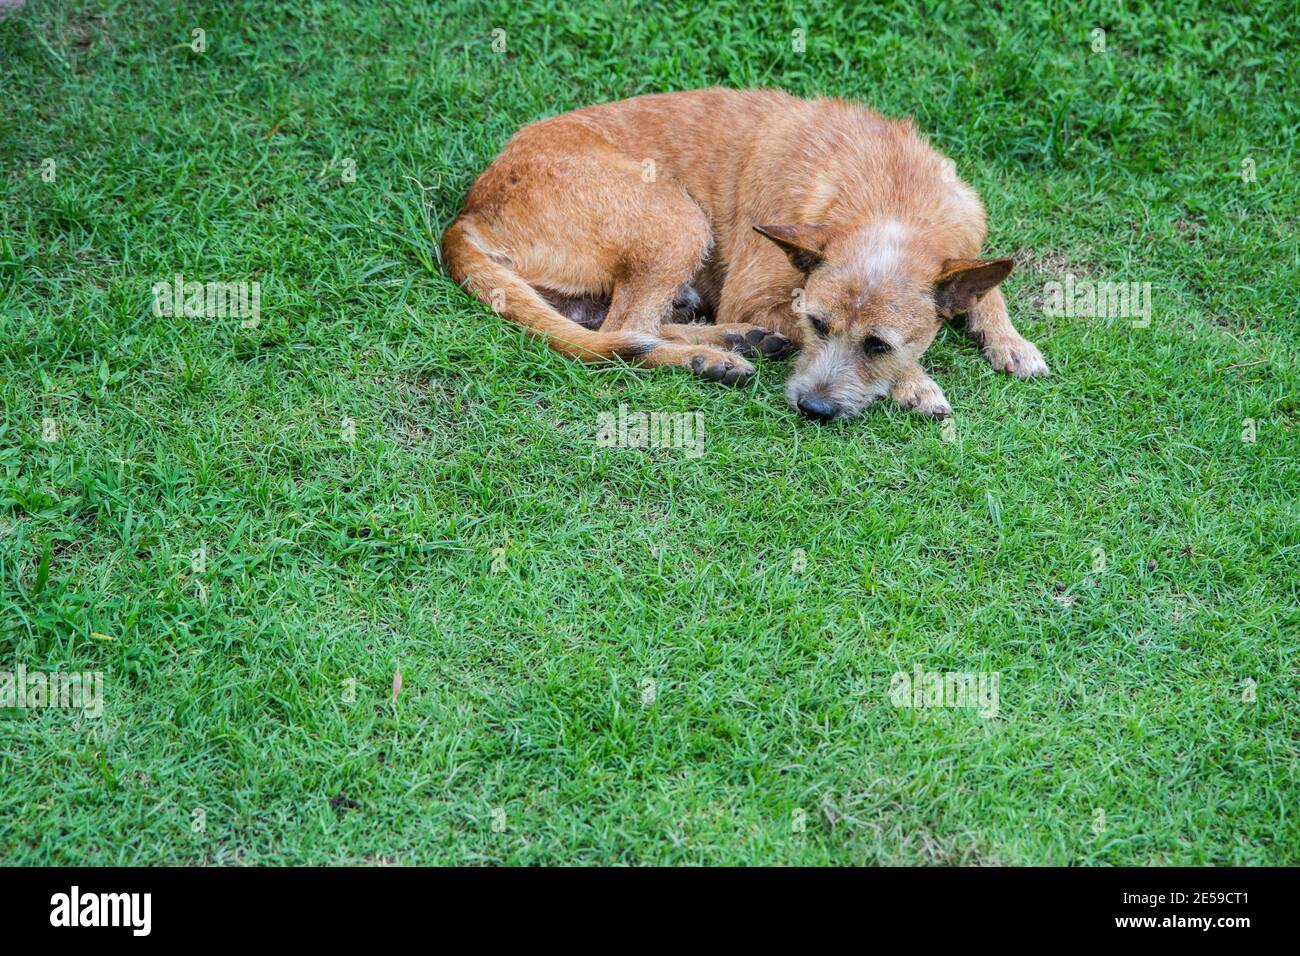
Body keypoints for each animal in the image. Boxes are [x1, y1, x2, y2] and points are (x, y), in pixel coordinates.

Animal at [444, 87, 1045, 421]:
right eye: (818, 325)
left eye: (877, 344)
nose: (813, 409)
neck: (891, 194)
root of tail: (469, 212)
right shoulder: (754, 295)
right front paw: (914, 382)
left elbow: (987, 287)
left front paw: (1010, 341)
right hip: (679, 220)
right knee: (626, 331)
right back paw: (711, 356)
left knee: (624, 326)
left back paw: (732, 344)